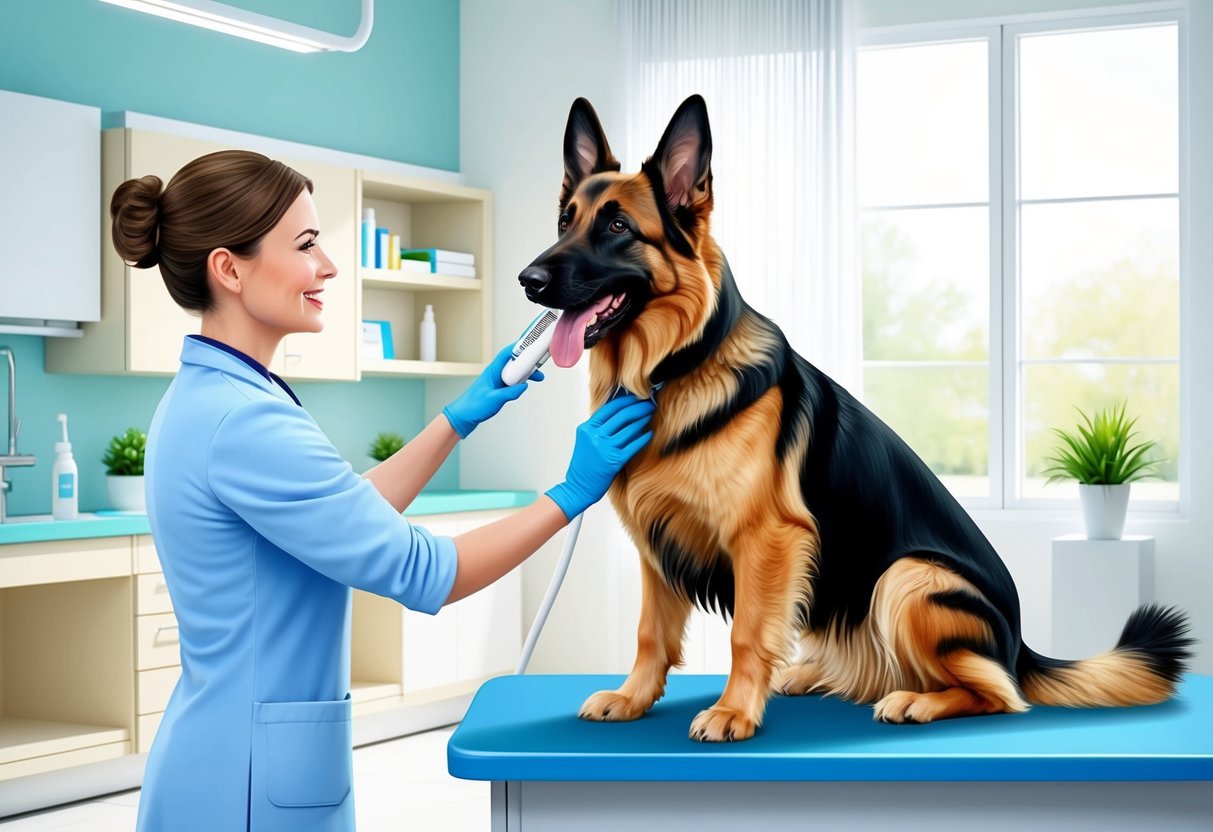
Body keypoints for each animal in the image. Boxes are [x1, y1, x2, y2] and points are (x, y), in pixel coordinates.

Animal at [516, 96, 1188, 742]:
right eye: (564, 222)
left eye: (619, 227)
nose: (528, 280)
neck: (671, 368)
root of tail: (1021, 646)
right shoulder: (658, 543)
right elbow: (650, 631)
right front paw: (632, 698)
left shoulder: (767, 540)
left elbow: (745, 634)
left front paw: (734, 712)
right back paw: (814, 675)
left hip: (906, 577)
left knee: (997, 692)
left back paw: (916, 700)